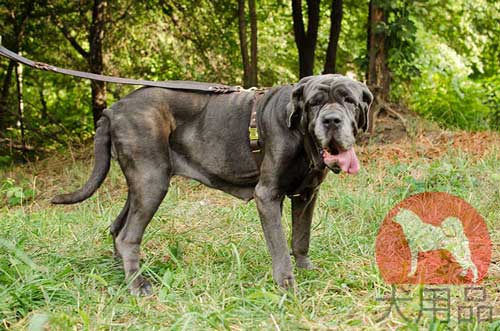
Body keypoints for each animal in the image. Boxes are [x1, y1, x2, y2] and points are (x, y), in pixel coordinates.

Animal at [52, 74, 374, 296]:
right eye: (314, 102)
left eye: (349, 100)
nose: (331, 120)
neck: (300, 134)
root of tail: (113, 109)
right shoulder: (267, 195)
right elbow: (281, 247)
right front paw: (288, 287)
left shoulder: (306, 194)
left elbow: (300, 238)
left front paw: (307, 271)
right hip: (151, 180)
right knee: (127, 237)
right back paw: (138, 285)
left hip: (142, 184)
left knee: (117, 227)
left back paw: (125, 273)